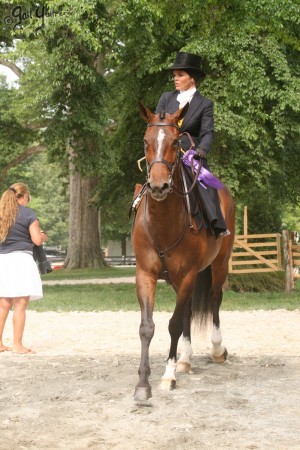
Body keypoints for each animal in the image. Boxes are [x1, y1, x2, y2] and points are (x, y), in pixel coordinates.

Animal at [132, 102, 236, 400]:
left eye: (176, 142)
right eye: (145, 141)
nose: (158, 186)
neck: (164, 223)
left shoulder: (189, 274)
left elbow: (174, 324)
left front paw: (167, 376)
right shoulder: (145, 274)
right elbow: (147, 327)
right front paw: (142, 385)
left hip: (218, 265)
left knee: (214, 300)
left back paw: (217, 349)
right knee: (188, 309)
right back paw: (186, 359)